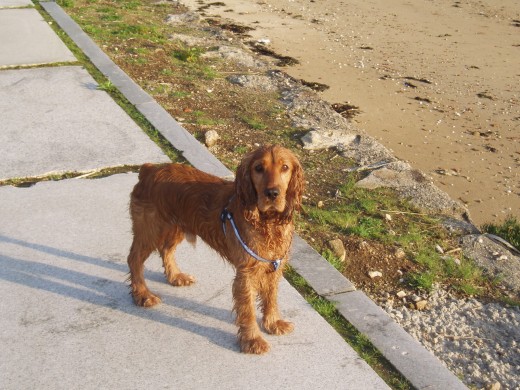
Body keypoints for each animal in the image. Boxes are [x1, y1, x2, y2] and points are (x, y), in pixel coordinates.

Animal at [127, 144, 304, 354]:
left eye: (285, 167)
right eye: (259, 168)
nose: (272, 193)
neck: (267, 222)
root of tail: (149, 170)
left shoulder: (274, 266)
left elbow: (271, 297)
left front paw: (273, 323)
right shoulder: (246, 272)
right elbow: (248, 309)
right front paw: (252, 339)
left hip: (175, 226)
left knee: (166, 250)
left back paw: (176, 276)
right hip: (151, 229)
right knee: (134, 259)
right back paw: (142, 294)